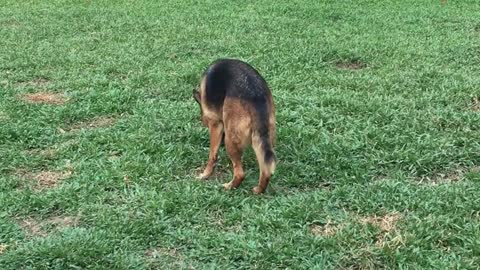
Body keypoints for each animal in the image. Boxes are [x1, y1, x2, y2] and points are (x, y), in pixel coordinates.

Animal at [194, 59, 278, 194]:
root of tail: (256, 97)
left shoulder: (215, 124)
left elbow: (212, 156)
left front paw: (205, 175)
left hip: (231, 140)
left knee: (240, 173)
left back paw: (229, 186)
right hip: (261, 138)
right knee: (266, 170)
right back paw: (258, 190)